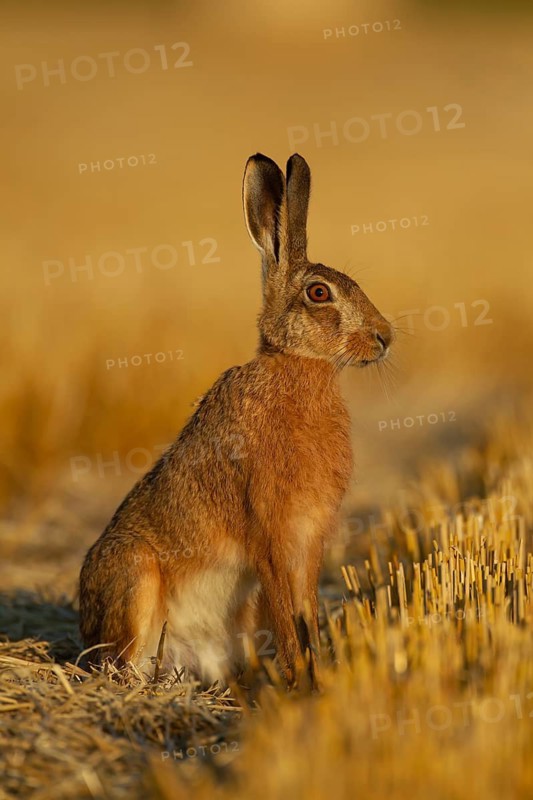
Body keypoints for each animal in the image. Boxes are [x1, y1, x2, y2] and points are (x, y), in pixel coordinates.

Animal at [79, 153, 393, 687]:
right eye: (319, 293)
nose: (384, 337)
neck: (299, 367)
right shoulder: (268, 531)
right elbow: (287, 615)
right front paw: (301, 681)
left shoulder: (308, 540)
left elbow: (306, 610)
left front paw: (320, 676)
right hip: (134, 576)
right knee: (121, 663)